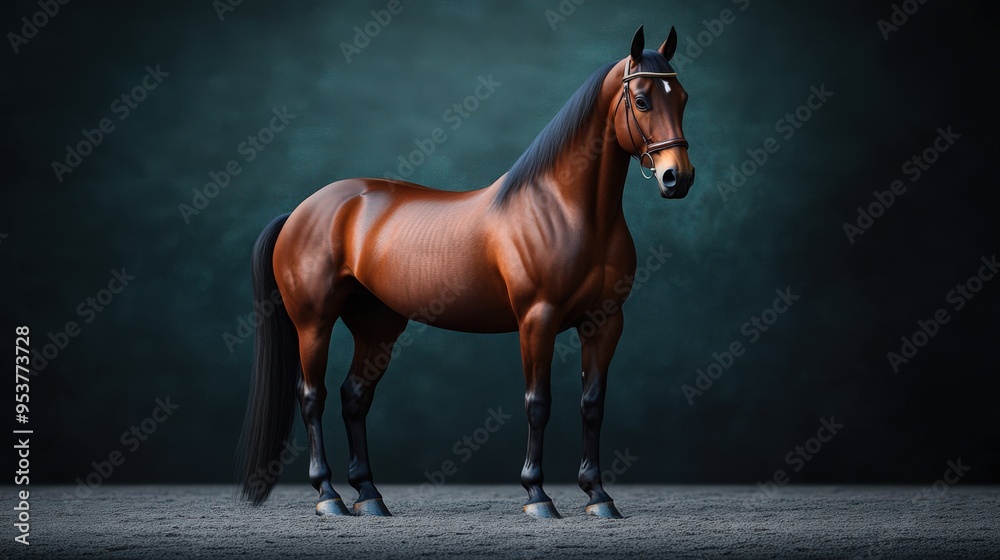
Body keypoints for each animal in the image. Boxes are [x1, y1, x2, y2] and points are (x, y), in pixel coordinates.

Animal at [236, 24, 694, 519]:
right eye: (643, 100)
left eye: (684, 98)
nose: (678, 178)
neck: (568, 210)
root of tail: (302, 210)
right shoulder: (538, 319)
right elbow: (538, 403)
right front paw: (538, 496)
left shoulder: (605, 322)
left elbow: (592, 405)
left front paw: (598, 496)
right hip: (313, 323)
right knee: (312, 397)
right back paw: (329, 495)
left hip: (377, 326)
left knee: (353, 397)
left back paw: (369, 496)